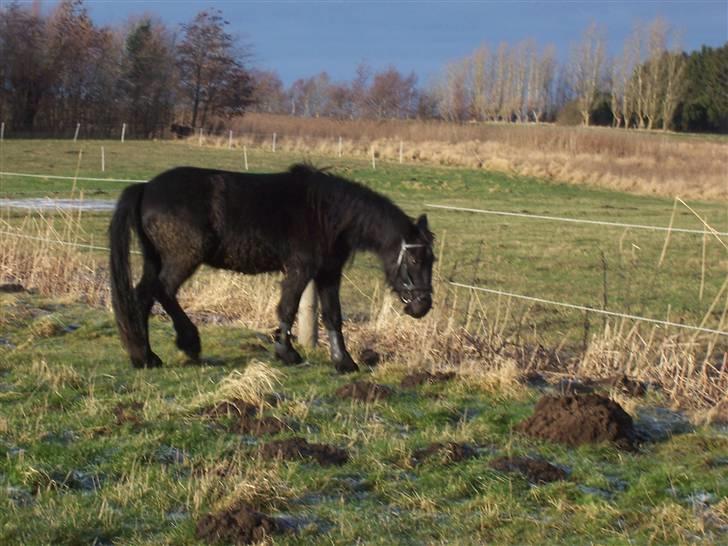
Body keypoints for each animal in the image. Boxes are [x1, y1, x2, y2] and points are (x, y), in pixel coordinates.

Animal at [109, 164, 434, 373]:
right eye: (415, 259)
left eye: (431, 260)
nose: (423, 306)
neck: (329, 213)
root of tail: (146, 188)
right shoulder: (300, 269)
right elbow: (287, 309)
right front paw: (286, 353)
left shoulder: (328, 274)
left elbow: (333, 316)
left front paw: (343, 362)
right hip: (183, 259)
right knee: (162, 292)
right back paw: (187, 342)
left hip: (156, 259)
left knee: (142, 297)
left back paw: (146, 357)